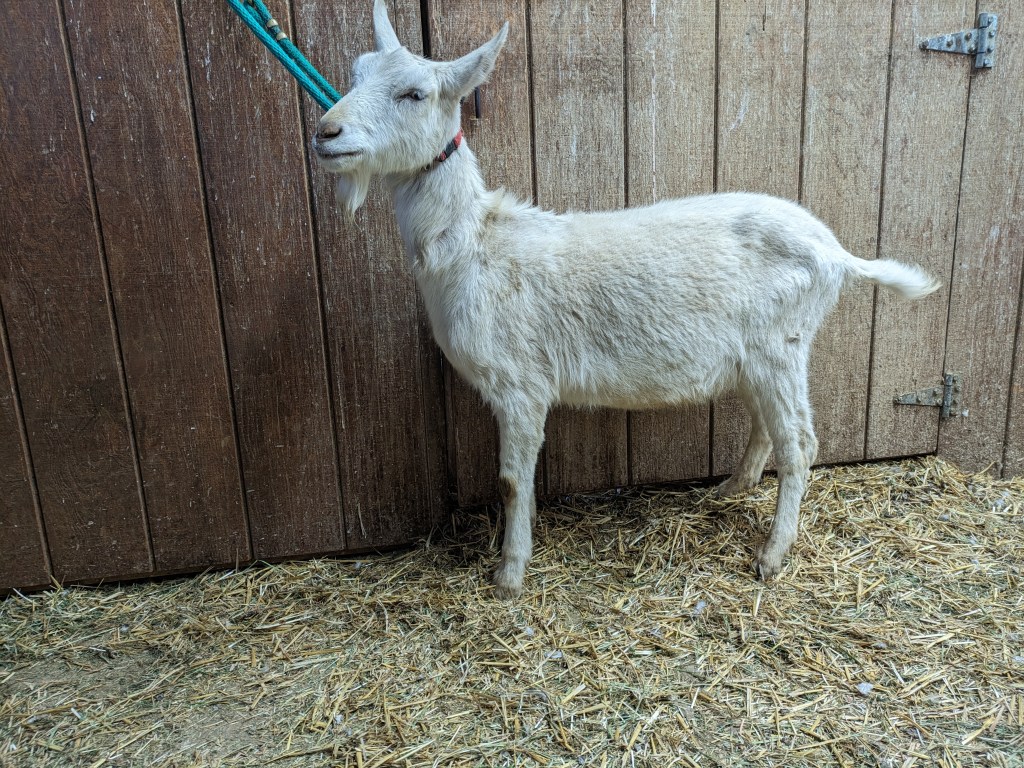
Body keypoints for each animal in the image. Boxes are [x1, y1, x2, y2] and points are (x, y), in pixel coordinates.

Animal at [312, 0, 941, 598]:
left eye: (414, 93)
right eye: (355, 73)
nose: (326, 132)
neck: (474, 242)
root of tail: (837, 252)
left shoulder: (520, 382)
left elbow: (512, 480)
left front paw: (509, 575)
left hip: (781, 340)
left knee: (801, 444)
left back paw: (771, 556)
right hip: (760, 354)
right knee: (768, 427)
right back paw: (730, 489)